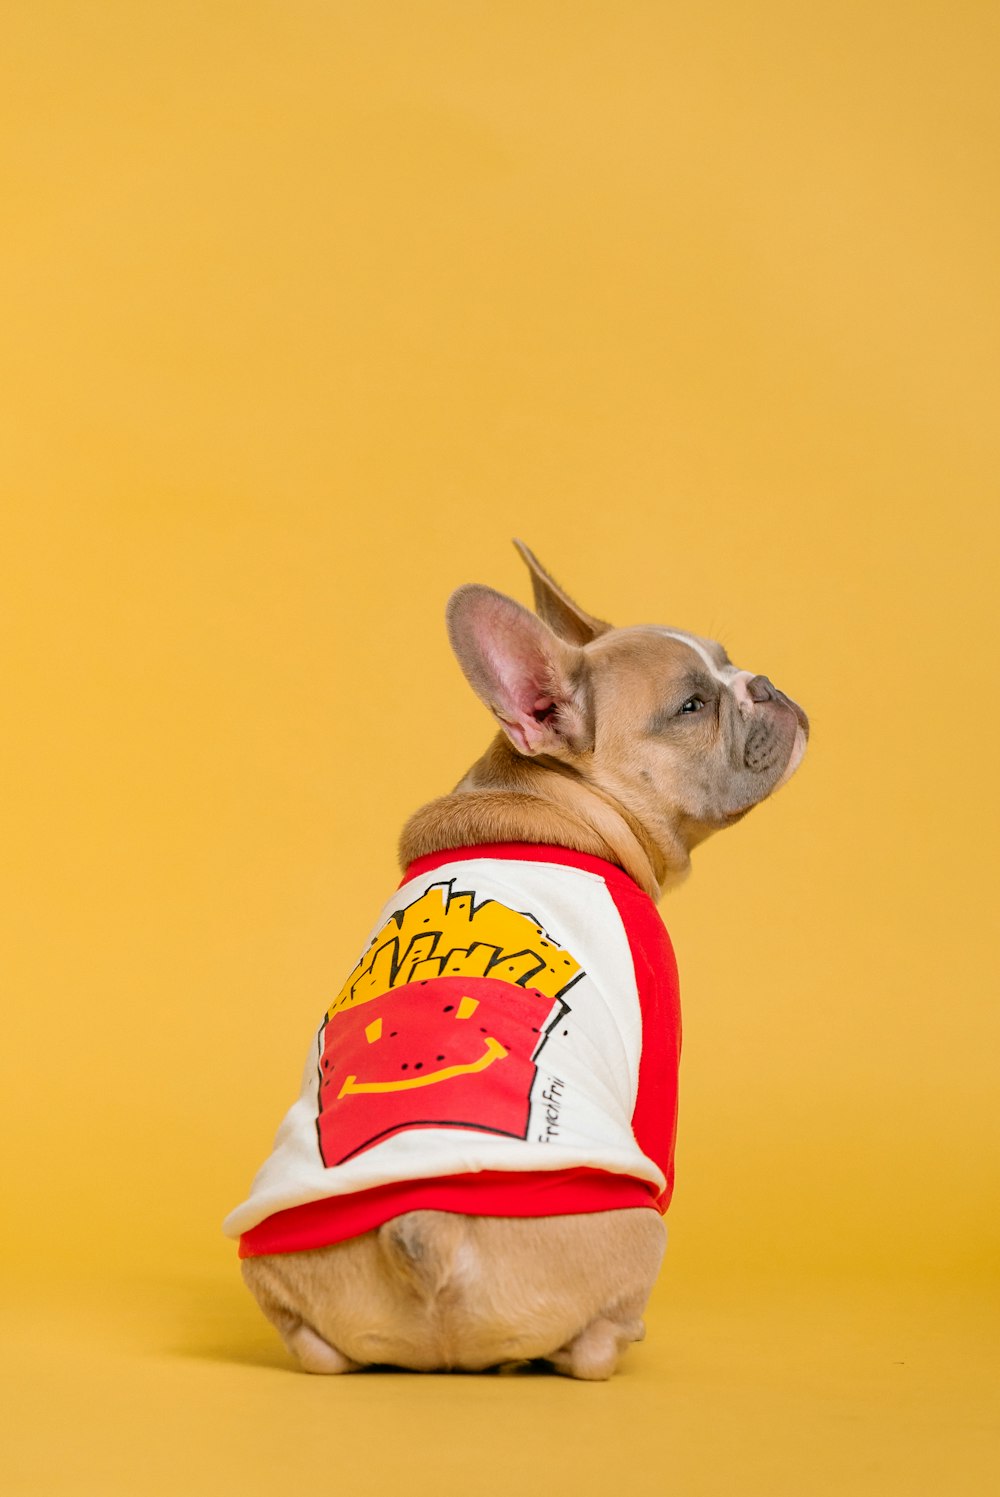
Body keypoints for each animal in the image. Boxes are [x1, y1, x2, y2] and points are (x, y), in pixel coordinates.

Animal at [226, 544, 802, 1371]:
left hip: (272, 1264)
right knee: (592, 1345)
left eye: (726, 663)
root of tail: (425, 1226)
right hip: (640, 1224)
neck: (552, 802)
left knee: (312, 1345)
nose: (764, 684)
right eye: (692, 706)